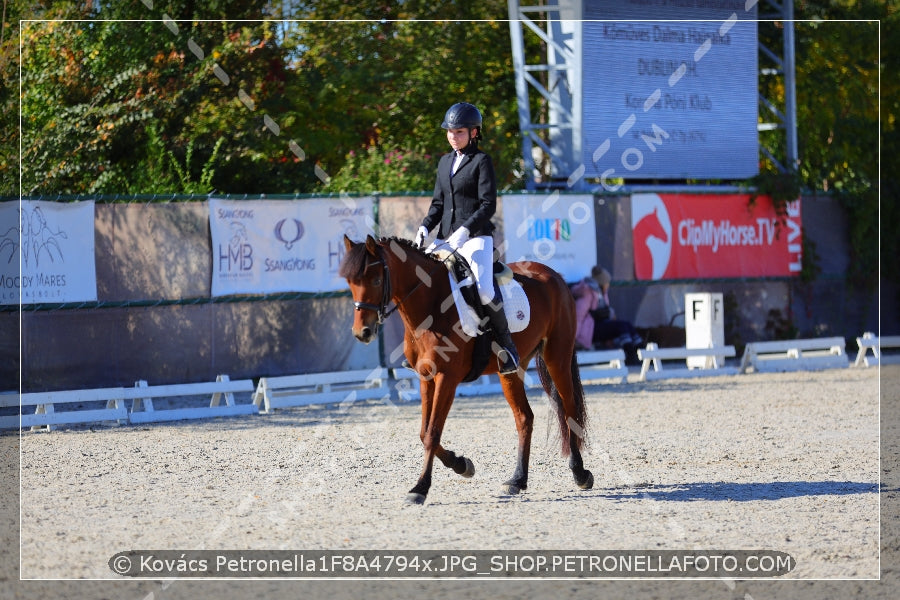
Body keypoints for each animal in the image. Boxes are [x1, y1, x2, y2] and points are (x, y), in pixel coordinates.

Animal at [338, 232, 592, 504]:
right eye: (350, 282)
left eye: (376, 280)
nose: (362, 333)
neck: (431, 304)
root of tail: (555, 276)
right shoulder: (426, 377)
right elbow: (424, 432)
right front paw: (461, 464)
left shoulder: (446, 378)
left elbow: (432, 433)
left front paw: (420, 488)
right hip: (511, 370)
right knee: (525, 417)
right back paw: (517, 480)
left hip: (557, 357)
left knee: (569, 409)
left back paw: (580, 473)